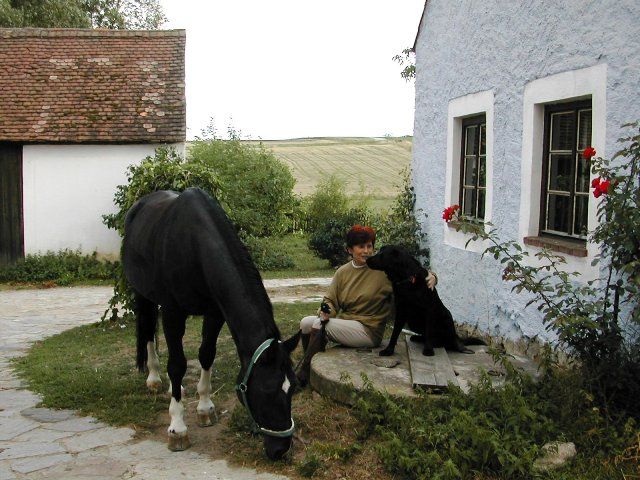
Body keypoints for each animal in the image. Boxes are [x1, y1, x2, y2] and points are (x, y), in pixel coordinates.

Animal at [122, 187, 300, 460]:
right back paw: (153, 378)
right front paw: (177, 428)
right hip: (143, 294)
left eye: (293, 389)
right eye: (267, 391)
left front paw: (205, 408)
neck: (195, 245)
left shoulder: (215, 312)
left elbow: (206, 354)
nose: (280, 449)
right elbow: (177, 365)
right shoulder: (173, 313)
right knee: (148, 330)